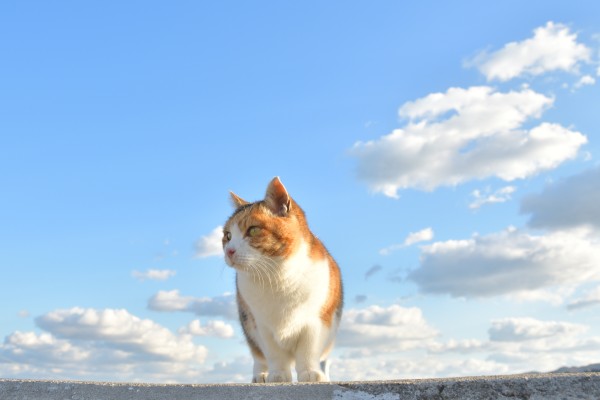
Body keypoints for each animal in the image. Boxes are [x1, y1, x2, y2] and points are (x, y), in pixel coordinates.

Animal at [221, 177, 344, 382]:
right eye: (228, 236)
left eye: (253, 230)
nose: (229, 251)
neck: (277, 277)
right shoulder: (261, 324)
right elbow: (273, 353)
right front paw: (278, 374)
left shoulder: (317, 320)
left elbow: (308, 350)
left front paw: (309, 373)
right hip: (247, 323)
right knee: (258, 355)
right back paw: (261, 375)